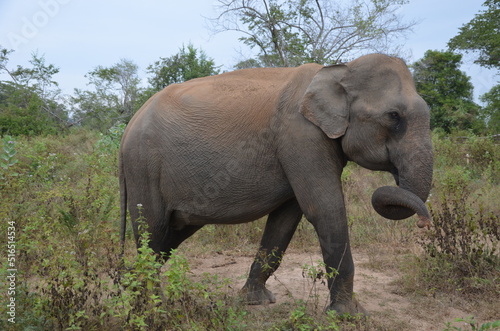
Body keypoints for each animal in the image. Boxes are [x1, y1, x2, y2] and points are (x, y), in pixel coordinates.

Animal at [118, 53, 434, 316]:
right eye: (393, 116)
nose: (424, 223)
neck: (340, 70)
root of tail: (127, 129)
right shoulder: (301, 136)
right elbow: (324, 209)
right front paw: (349, 316)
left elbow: (286, 219)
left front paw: (254, 302)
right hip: (143, 167)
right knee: (153, 230)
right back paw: (153, 306)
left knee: (169, 235)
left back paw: (136, 293)